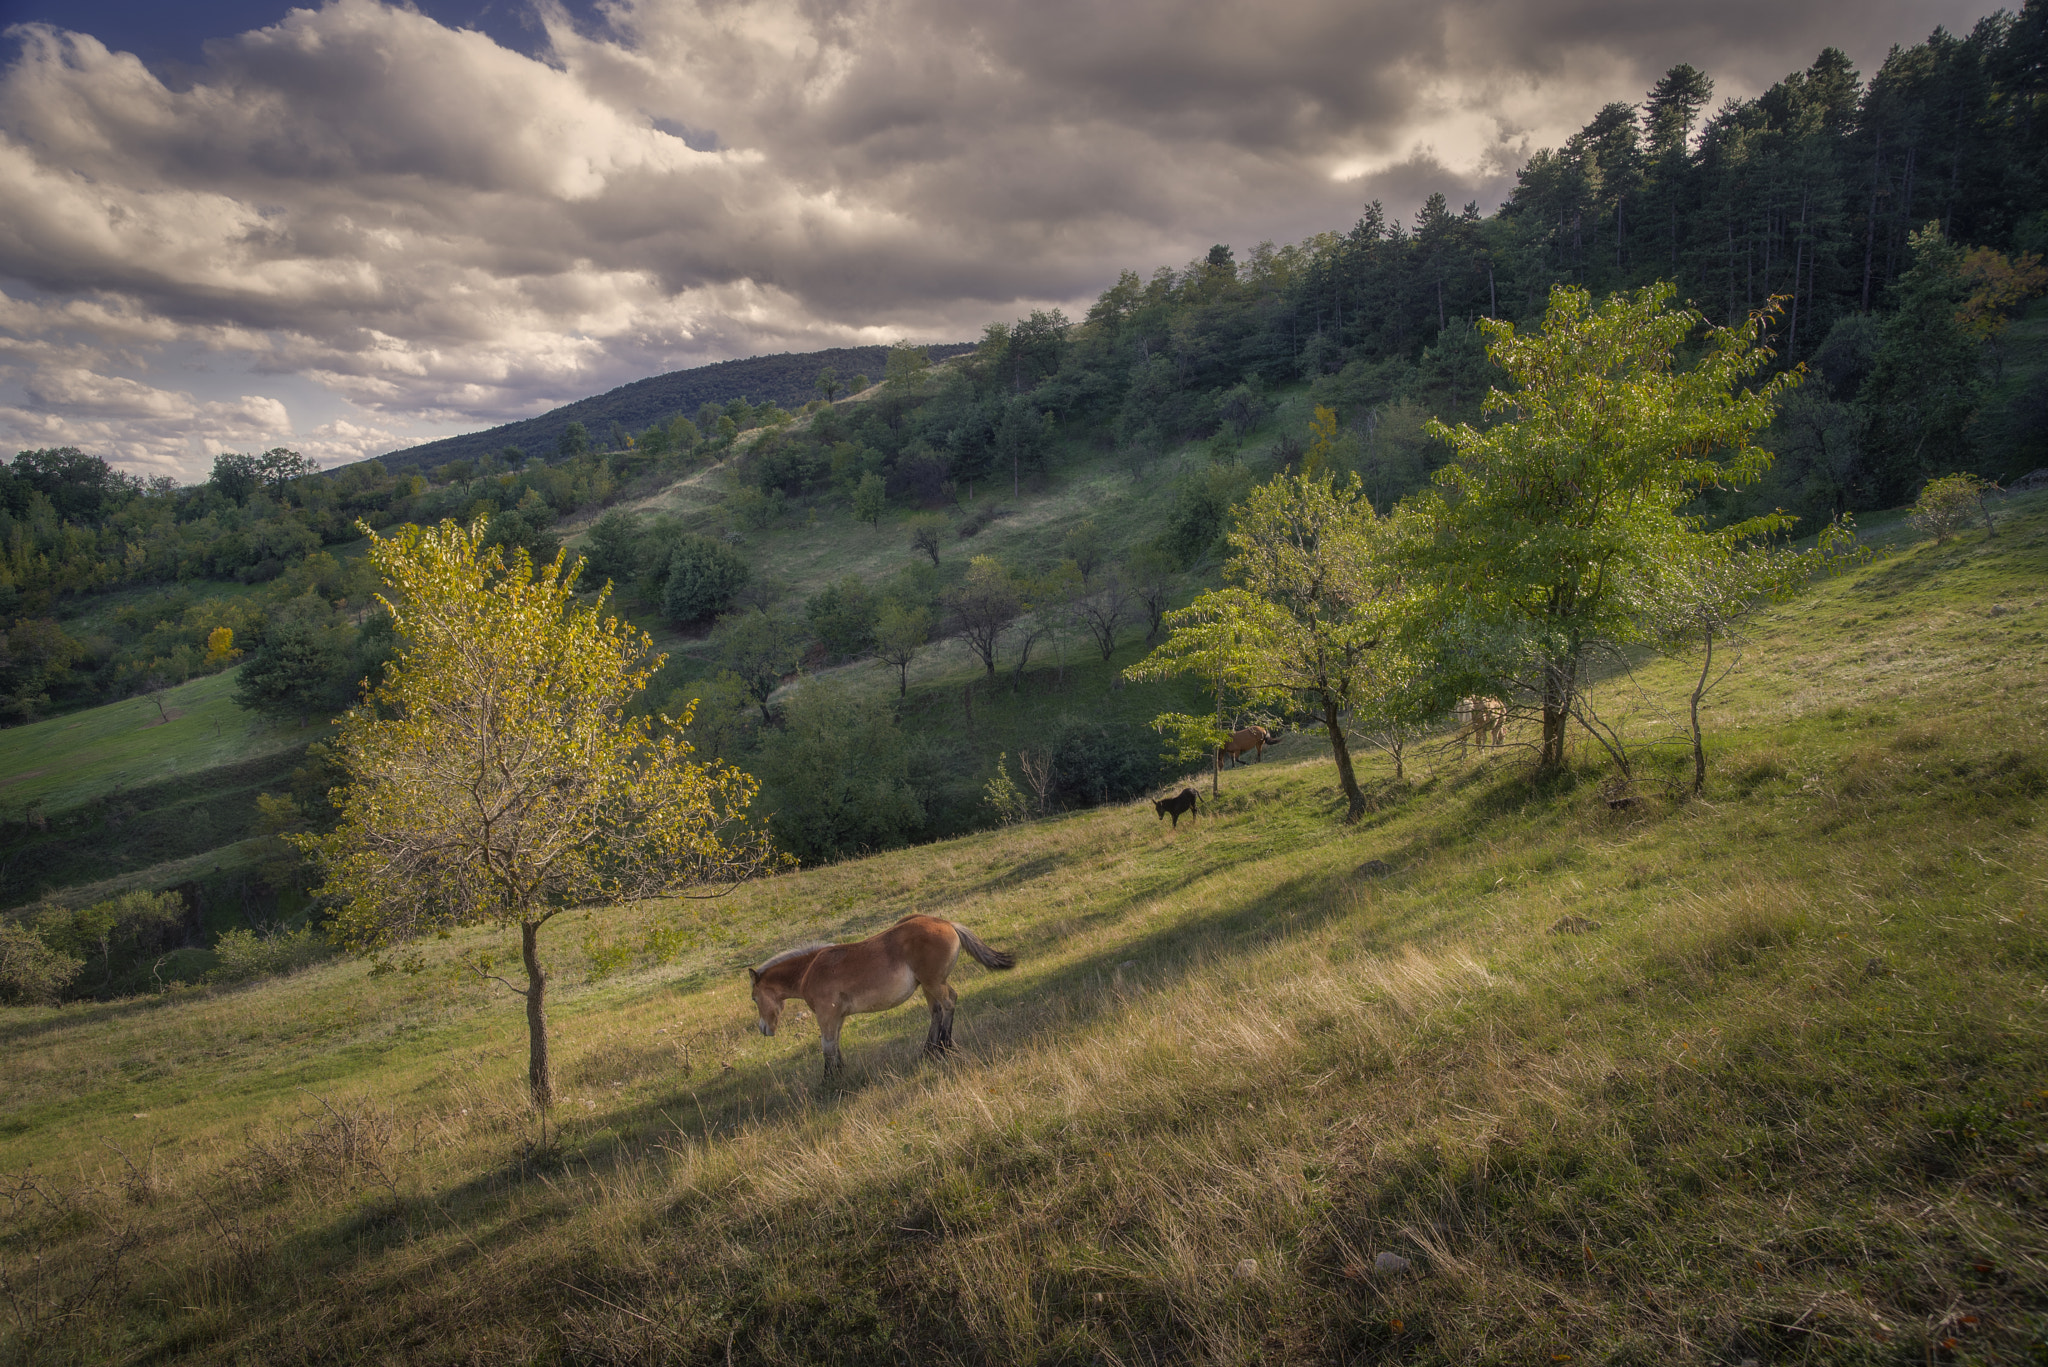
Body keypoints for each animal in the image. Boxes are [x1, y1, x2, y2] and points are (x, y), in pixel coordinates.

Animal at [749, 914, 1011, 1082]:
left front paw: (828, 1081)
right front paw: (840, 1073)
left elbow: (827, 1046)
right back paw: (929, 1051)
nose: (764, 1029)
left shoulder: (826, 1015)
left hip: (933, 983)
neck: (809, 970)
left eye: (754, 998)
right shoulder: (837, 1016)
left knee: (949, 1003)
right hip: (928, 985)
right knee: (937, 1011)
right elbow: (836, 1043)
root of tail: (947, 923)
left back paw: (945, 1046)